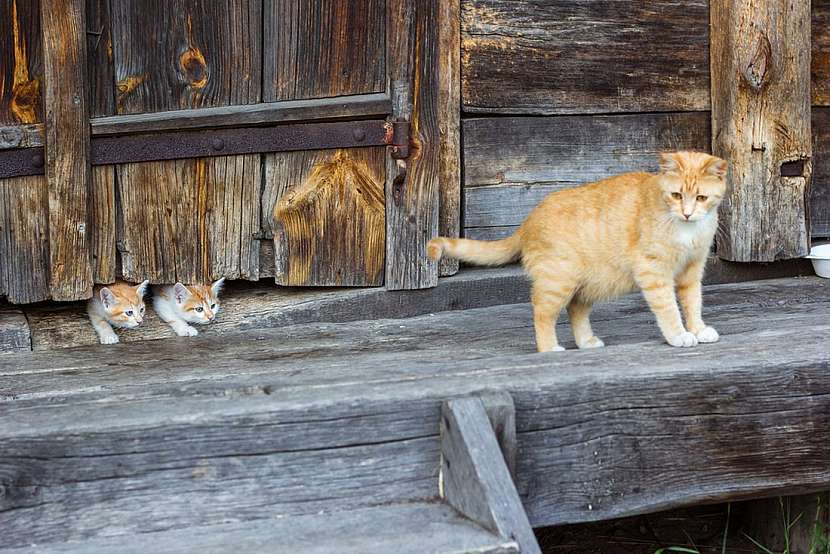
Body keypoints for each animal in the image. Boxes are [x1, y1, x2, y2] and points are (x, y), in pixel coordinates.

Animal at [428, 149, 728, 352]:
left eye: (701, 198)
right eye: (676, 195)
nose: (687, 213)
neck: (687, 231)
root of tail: (529, 219)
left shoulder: (691, 272)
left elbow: (692, 304)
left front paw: (698, 329)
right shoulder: (654, 272)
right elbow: (668, 308)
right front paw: (678, 334)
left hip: (588, 284)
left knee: (575, 310)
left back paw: (586, 342)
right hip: (558, 282)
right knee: (542, 312)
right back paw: (549, 348)